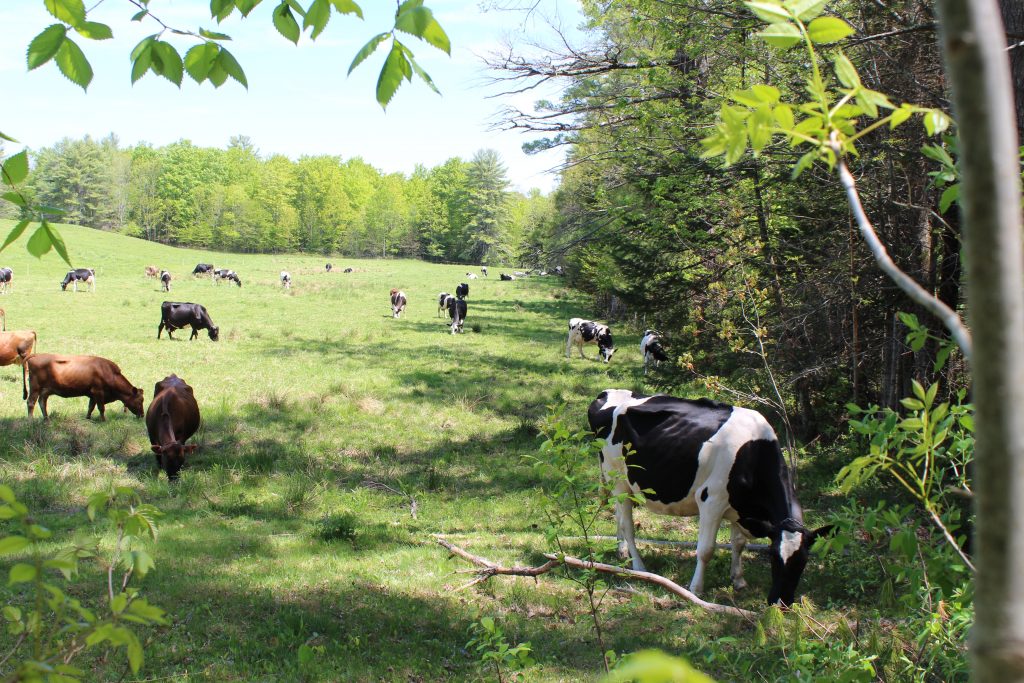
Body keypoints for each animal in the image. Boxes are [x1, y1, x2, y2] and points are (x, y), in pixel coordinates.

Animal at [585, 393, 831, 606]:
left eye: (803, 562)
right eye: (773, 558)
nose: (780, 603)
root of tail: (606, 393)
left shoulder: (738, 507)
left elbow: (738, 543)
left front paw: (738, 579)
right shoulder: (711, 500)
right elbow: (706, 550)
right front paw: (696, 589)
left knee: (618, 516)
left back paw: (622, 552)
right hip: (617, 478)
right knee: (627, 525)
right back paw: (638, 565)